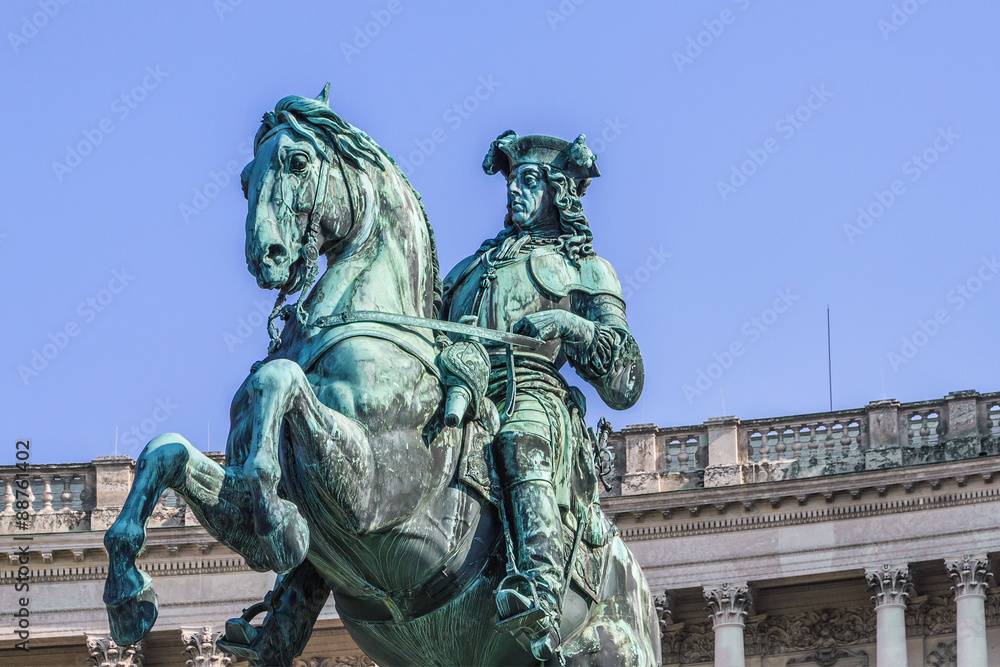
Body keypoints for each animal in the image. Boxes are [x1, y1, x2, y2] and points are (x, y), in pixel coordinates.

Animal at [103, 88, 664, 667]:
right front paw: (129, 592)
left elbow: (278, 380)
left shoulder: (376, 489)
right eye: (243, 177)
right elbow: (167, 450)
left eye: (297, 161)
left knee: (524, 446)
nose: (267, 257)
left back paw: (531, 595)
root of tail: (641, 600)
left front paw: (276, 520)